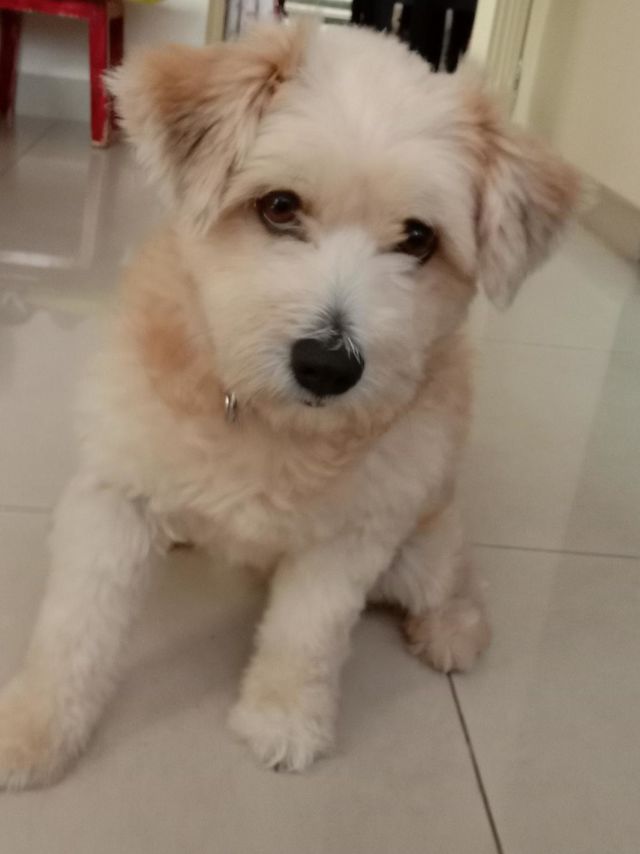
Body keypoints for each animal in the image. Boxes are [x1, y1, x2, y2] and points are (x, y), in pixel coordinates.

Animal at [0, 22, 579, 788]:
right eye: (279, 206)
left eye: (418, 238)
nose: (328, 366)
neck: (266, 420)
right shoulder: (114, 498)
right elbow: (75, 626)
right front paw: (33, 727)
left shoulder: (355, 535)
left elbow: (307, 635)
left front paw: (282, 719)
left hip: (422, 543)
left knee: (457, 577)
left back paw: (452, 629)